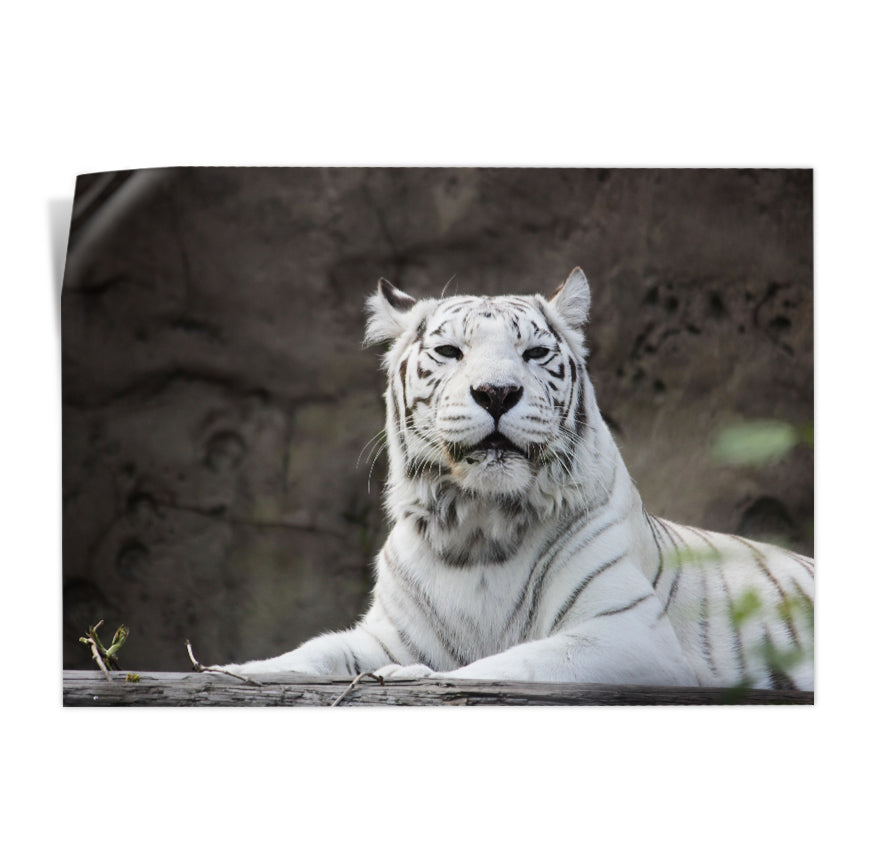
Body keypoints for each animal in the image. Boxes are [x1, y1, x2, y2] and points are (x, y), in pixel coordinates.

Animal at [218, 267, 814, 690]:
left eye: (534, 352)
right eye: (449, 351)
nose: (498, 392)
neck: (477, 527)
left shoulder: (628, 634)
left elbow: (509, 663)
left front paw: (407, 676)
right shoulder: (389, 632)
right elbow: (315, 651)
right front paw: (234, 669)